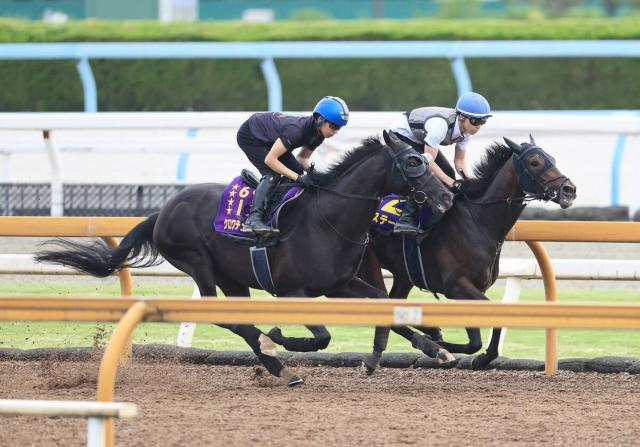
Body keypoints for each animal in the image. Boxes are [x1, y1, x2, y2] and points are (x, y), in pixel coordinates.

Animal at [35, 131, 454, 386]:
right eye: (413, 162)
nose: (447, 195)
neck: (328, 218)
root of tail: (163, 211)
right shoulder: (294, 291)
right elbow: (322, 337)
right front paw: (282, 336)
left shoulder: (342, 284)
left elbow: (384, 304)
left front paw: (435, 347)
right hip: (198, 263)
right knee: (223, 314)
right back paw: (273, 353)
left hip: (231, 276)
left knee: (235, 314)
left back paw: (276, 365)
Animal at [357, 136, 577, 374]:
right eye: (534, 162)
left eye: (552, 158)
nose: (569, 190)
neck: (478, 220)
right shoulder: (456, 286)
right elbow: (483, 328)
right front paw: (451, 350)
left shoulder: (472, 288)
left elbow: (475, 341)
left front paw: (475, 355)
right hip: (368, 263)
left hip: (404, 274)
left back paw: (430, 333)